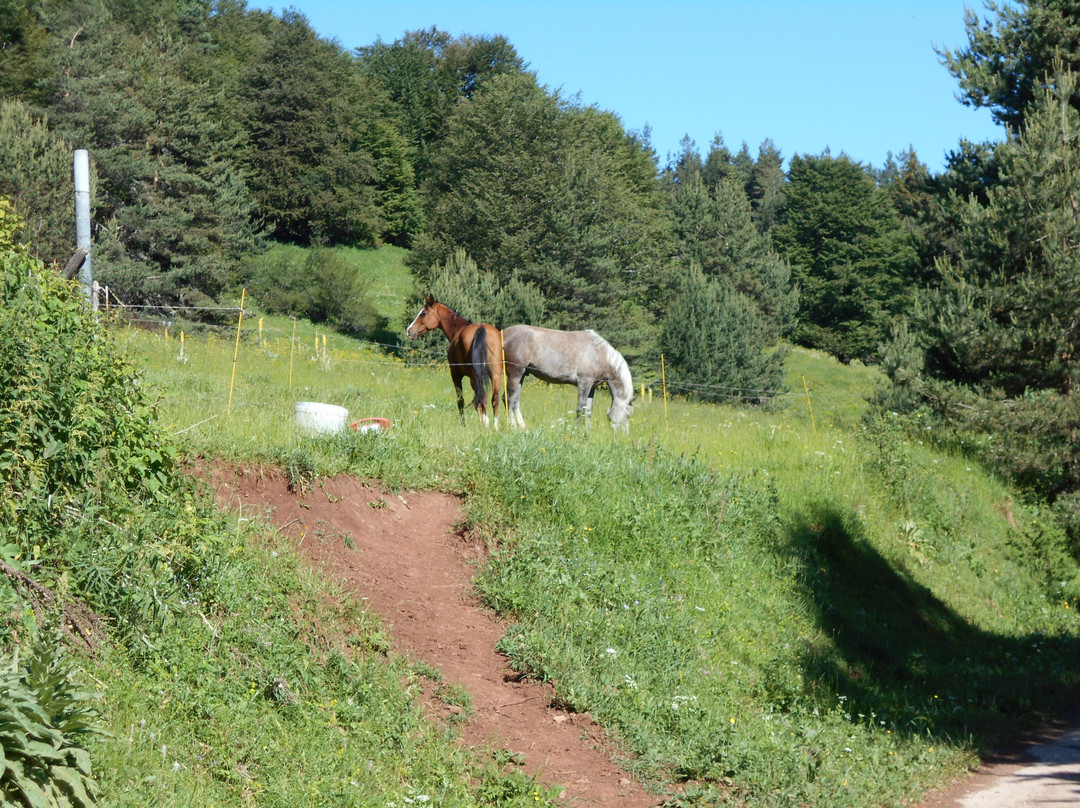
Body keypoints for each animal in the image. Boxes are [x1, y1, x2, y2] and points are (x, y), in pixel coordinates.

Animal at [406, 296, 504, 427]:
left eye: (423, 314)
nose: (409, 331)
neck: (458, 329)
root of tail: (481, 329)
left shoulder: (456, 375)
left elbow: (460, 400)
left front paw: (463, 424)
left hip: (475, 378)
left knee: (481, 399)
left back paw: (485, 425)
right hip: (495, 376)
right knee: (494, 399)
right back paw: (494, 426)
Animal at [502, 324, 635, 431]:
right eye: (627, 415)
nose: (624, 435)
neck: (599, 353)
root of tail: (503, 333)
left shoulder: (591, 387)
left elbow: (588, 411)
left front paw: (588, 431)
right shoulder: (584, 383)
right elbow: (580, 408)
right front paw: (578, 431)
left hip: (522, 376)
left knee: (514, 401)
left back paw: (522, 427)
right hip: (515, 374)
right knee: (509, 399)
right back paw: (512, 427)